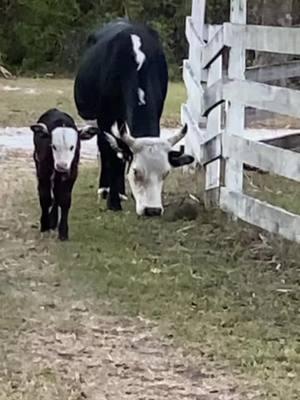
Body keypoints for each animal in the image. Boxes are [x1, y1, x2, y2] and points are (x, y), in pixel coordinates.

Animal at [30, 108, 96, 241]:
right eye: (53, 146)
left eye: (72, 147)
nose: (61, 165)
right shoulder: (43, 172)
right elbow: (45, 198)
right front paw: (44, 225)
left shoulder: (72, 173)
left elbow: (64, 200)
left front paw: (63, 232)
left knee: (57, 194)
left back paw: (54, 220)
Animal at [74, 19, 193, 216]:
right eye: (136, 172)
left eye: (166, 173)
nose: (152, 210)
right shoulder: (106, 117)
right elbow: (112, 154)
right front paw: (113, 202)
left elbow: (122, 154)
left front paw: (119, 194)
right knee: (105, 148)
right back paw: (105, 189)